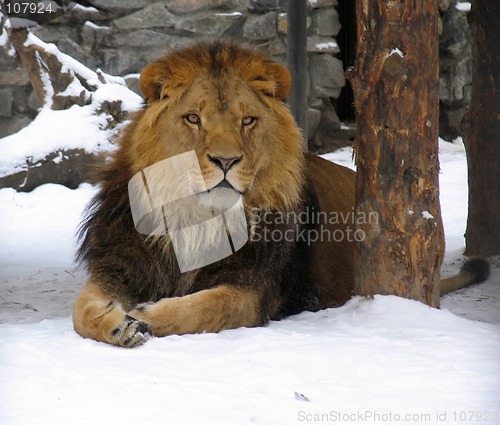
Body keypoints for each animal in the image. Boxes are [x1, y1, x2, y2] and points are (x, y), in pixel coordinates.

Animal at [72, 41, 490, 346]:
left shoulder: (253, 290)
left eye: (247, 120)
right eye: (193, 118)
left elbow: (205, 307)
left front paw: (144, 316)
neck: (196, 219)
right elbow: (81, 310)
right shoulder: (119, 265)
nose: (226, 160)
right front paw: (118, 323)